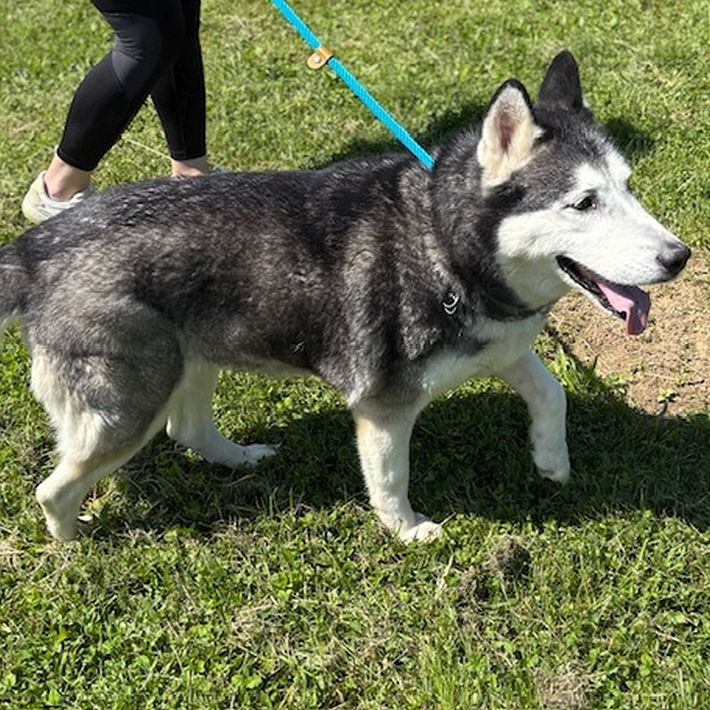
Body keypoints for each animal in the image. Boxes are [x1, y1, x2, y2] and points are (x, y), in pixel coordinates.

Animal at [0, 51, 690, 542]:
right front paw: (408, 531)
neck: (443, 247)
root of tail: (35, 249)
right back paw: (74, 541)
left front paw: (552, 461)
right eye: (583, 203)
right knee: (53, 489)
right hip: (129, 403)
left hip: (188, 360)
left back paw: (239, 458)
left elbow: (552, 393)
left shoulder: (500, 345)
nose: (678, 257)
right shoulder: (384, 405)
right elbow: (389, 475)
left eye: (627, 187)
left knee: (188, 428)